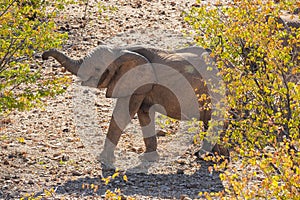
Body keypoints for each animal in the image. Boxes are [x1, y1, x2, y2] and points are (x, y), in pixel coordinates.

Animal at [41, 45, 227, 164]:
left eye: (97, 68)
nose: (43, 56)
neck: (122, 50)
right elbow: (144, 114)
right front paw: (148, 159)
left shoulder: (136, 83)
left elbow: (123, 113)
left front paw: (104, 160)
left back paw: (214, 159)